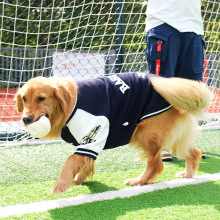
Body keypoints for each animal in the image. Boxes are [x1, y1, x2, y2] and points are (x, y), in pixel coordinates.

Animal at [15, 72, 210, 194]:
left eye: (41, 98)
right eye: (24, 98)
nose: (26, 119)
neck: (71, 104)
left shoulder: (93, 134)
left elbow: (71, 160)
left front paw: (60, 185)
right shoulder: (87, 143)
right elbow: (86, 162)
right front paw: (79, 178)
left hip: (147, 135)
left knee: (156, 165)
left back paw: (139, 181)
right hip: (173, 138)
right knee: (193, 152)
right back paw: (187, 174)